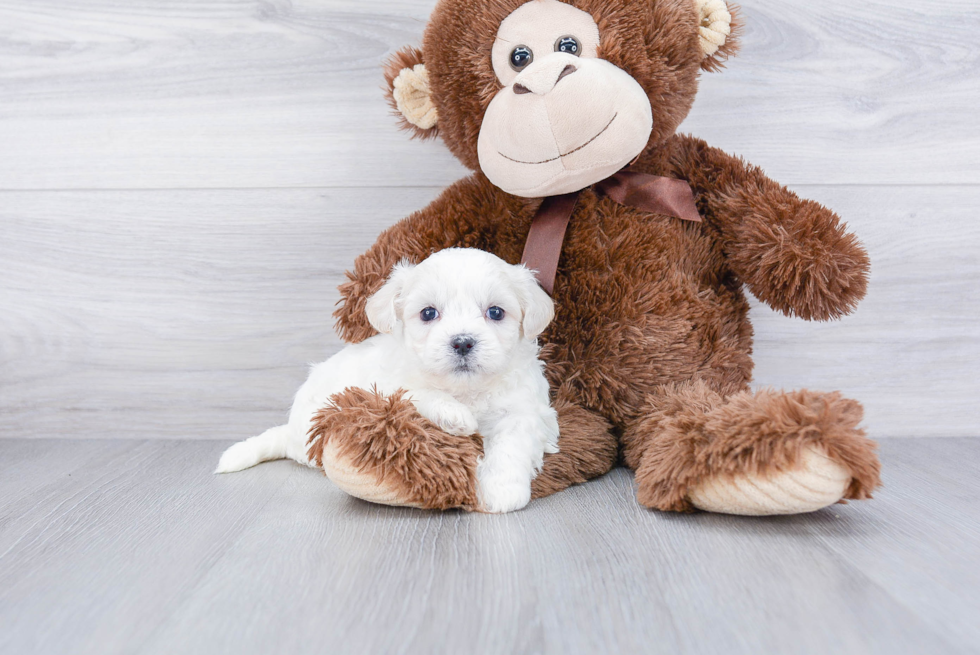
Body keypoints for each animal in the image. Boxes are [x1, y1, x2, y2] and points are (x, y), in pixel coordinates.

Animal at [218, 249, 564, 516]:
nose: (463, 342)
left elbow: (511, 444)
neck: (464, 389)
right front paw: (454, 416)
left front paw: (501, 492)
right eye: (428, 313)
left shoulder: (522, 409)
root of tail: (289, 430)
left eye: (495, 312)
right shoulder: (389, 389)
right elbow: (420, 393)